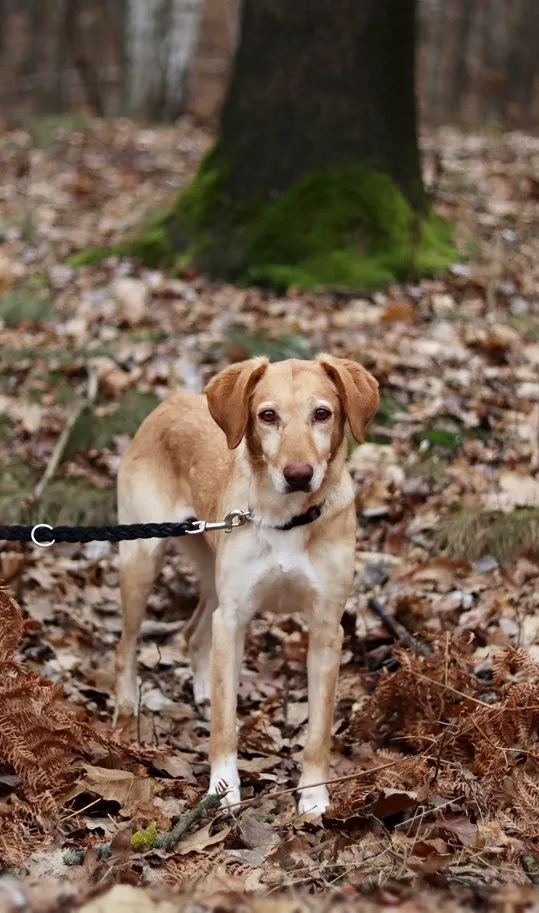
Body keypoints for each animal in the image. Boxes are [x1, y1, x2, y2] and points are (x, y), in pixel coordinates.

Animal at [114, 352, 380, 816]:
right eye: (267, 416)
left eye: (322, 413)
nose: (298, 474)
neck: (285, 520)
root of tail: (169, 403)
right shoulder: (234, 616)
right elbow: (225, 723)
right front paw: (223, 790)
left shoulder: (326, 628)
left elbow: (319, 731)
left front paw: (314, 796)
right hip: (142, 559)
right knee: (126, 644)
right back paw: (128, 705)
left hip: (210, 575)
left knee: (193, 632)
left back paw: (202, 686)